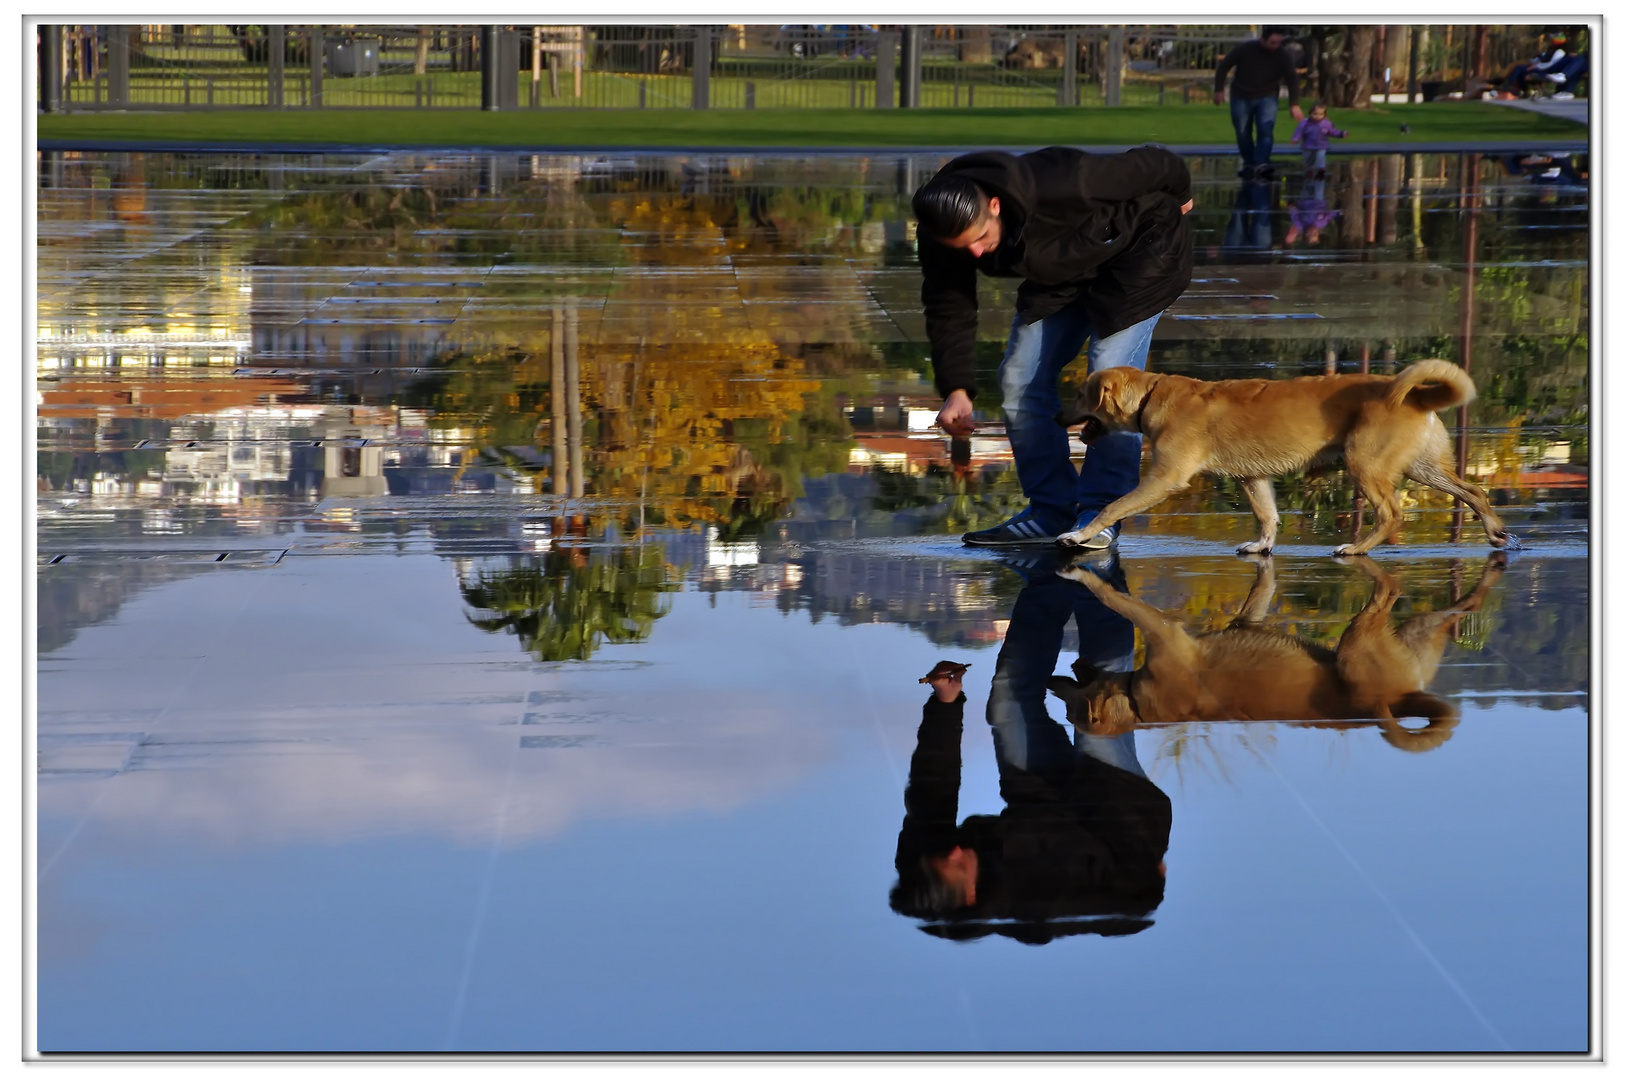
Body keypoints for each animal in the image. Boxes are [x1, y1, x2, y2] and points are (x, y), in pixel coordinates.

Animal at [1048, 557, 1504, 752]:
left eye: (1072, 710)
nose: (1051, 683)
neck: (1140, 708)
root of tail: (1394, 700)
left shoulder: (1162, 630)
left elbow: (1110, 596)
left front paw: (1080, 573)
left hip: (1355, 644)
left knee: (1389, 590)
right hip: (1409, 641)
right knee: (1441, 617)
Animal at [1054, 361, 1510, 553]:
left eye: (1078, 395)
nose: (1055, 416)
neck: (1152, 394)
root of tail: (1415, 394)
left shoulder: (1165, 477)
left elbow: (1112, 506)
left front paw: (1079, 535)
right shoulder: (1253, 479)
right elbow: (1268, 515)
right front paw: (1262, 546)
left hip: (1365, 464)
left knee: (1391, 515)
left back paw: (1357, 549)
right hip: (1423, 467)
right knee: (1473, 491)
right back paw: (1495, 532)